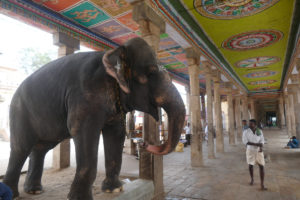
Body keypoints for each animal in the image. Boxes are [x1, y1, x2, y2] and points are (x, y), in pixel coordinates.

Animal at [2, 37, 185, 198]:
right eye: (151, 72)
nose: (144, 144)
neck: (112, 53)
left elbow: (116, 134)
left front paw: (114, 190)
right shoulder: (84, 97)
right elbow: (84, 133)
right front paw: (79, 197)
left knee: (40, 148)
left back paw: (34, 190)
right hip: (19, 112)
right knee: (21, 148)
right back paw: (13, 193)